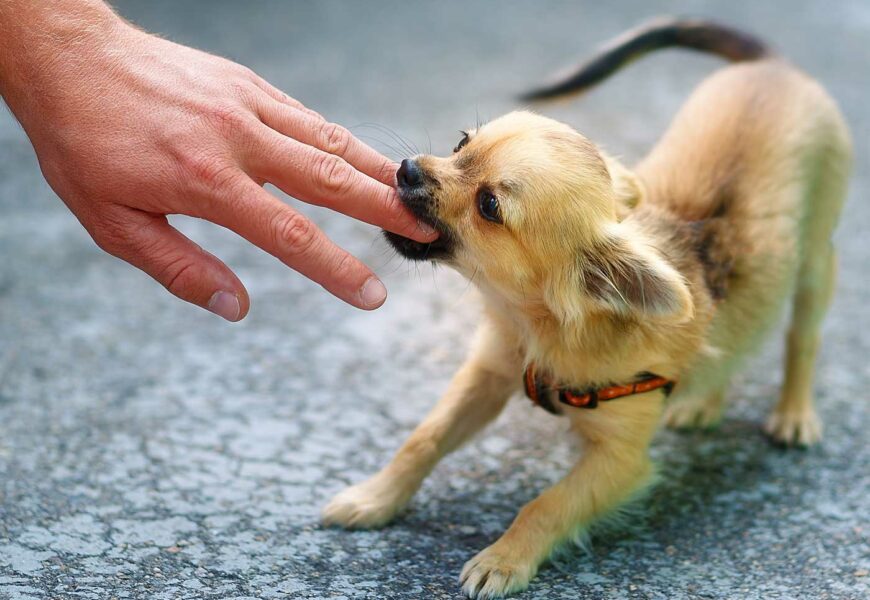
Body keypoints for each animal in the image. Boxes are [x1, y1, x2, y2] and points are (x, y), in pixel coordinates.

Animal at [320, 18, 852, 600]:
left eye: (489, 206)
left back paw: (794, 414)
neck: (537, 327)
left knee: (802, 339)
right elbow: (423, 440)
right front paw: (375, 498)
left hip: (816, 263)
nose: (407, 168)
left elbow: (548, 504)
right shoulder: (489, 374)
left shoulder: (620, 462)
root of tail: (774, 66)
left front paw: (505, 558)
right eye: (462, 143)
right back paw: (703, 402)